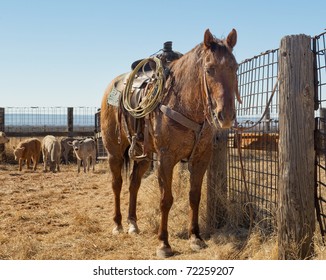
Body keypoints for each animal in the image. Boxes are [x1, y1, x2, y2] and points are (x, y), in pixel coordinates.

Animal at [100, 27, 239, 258]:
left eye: (234, 67)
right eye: (209, 69)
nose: (225, 116)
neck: (183, 103)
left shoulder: (201, 158)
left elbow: (194, 196)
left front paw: (196, 237)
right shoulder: (166, 159)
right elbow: (166, 200)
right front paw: (164, 244)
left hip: (144, 156)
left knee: (134, 184)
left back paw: (132, 224)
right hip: (114, 152)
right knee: (117, 184)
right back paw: (118, 225)